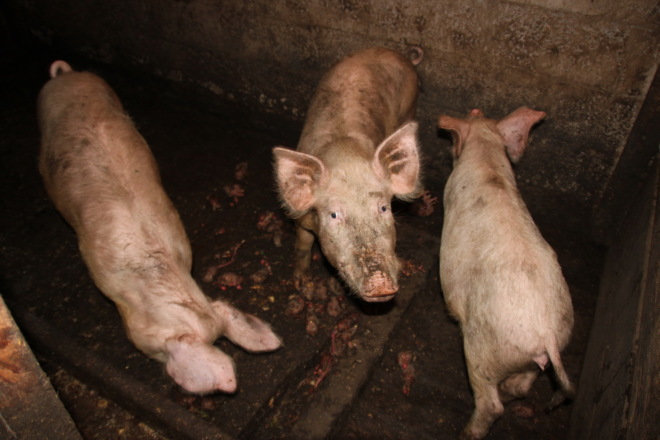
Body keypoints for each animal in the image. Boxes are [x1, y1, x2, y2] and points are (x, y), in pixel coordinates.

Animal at [272, 47, 422, 302]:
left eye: (384, 208)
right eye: (333, 215)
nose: (380, 283)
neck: (344, 157)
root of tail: (399, 54)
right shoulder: (303, 218)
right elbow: (303, 244)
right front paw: (299, 282)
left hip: (409, 104)